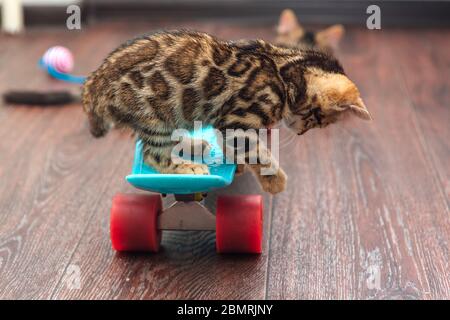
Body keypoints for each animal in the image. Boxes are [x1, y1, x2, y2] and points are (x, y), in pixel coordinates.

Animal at [82, 31, 370, 194]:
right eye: (318, 120)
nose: (300, 132)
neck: (284, 68)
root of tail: (93, 82)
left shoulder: (230, 124)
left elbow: (238, 148)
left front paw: (238, 164)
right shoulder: (237, 122)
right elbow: (258, 153)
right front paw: (274, 181)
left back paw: (193, 145)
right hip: (154, 116)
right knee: (153, 154)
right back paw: (187, 166)